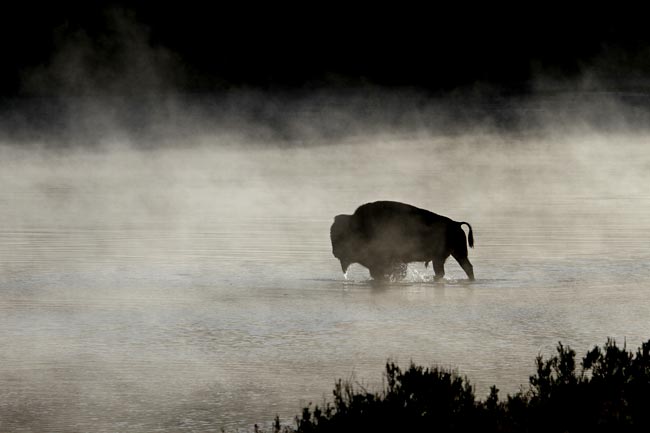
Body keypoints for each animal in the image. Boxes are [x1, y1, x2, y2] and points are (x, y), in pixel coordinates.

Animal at [330, 202, 470, 282]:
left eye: (341, 237)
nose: (335, 252)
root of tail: (456, 224)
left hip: (443, 257)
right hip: (457, 254)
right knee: (467, 268)